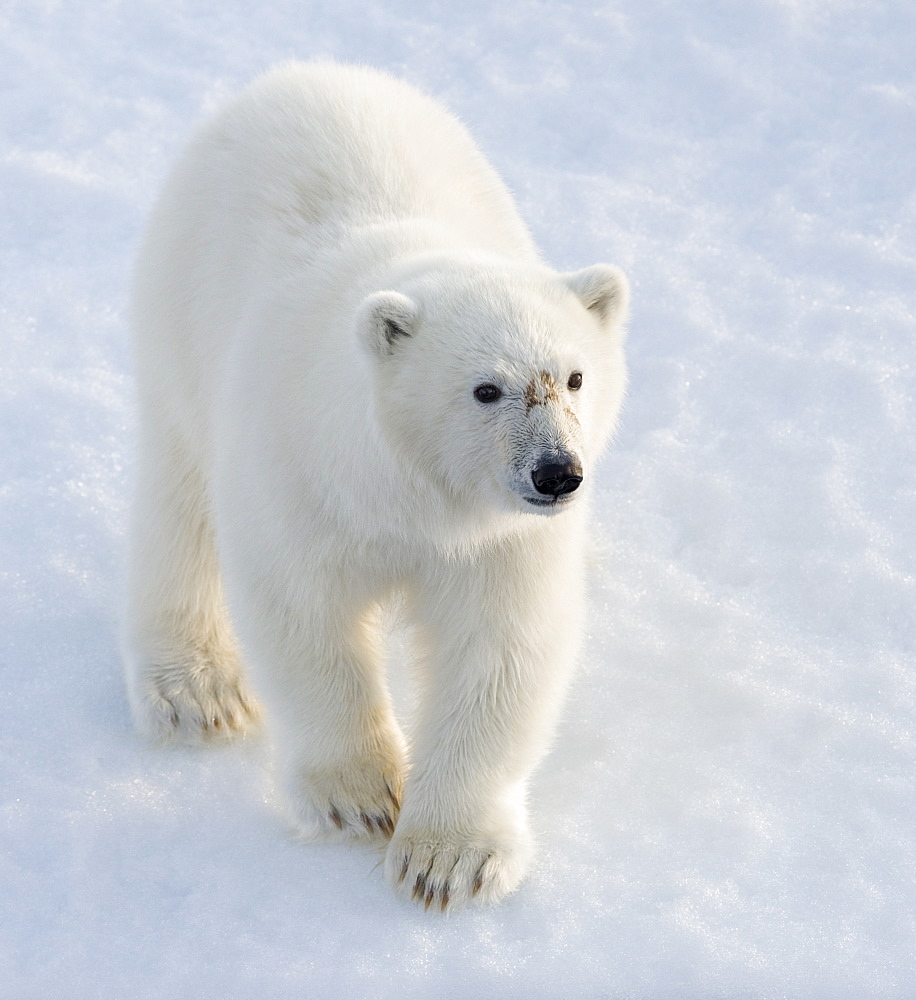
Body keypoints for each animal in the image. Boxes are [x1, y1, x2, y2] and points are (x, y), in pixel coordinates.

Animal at [123, 58, 628, 912]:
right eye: (485, 389)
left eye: (574, 377)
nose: (557, 473)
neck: (410, 494)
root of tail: (302, 73)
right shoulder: (302, 477)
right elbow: (304, 616)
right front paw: (360, 798)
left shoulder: (498, 539)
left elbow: (499, 650)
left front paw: (448, 857)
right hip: (179, 316)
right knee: (178, 498)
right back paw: (197, 689)